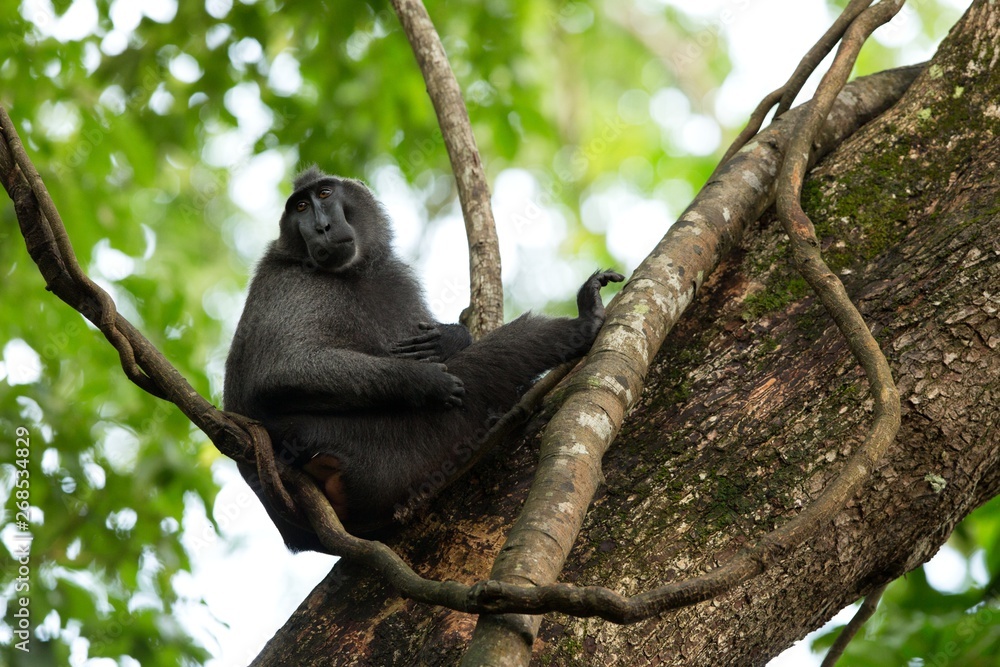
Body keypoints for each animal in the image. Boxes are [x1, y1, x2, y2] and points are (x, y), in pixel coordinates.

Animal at [224, 166, 623, 553]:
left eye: (324, 194)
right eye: (301, 208)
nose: (321, 227)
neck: (350, 272)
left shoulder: (392, 277)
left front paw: (449, 338)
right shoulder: (291, 282)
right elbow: (279, 373)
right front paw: (428, 381)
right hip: (386, 454)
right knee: (486, 368)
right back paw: (582, 326)